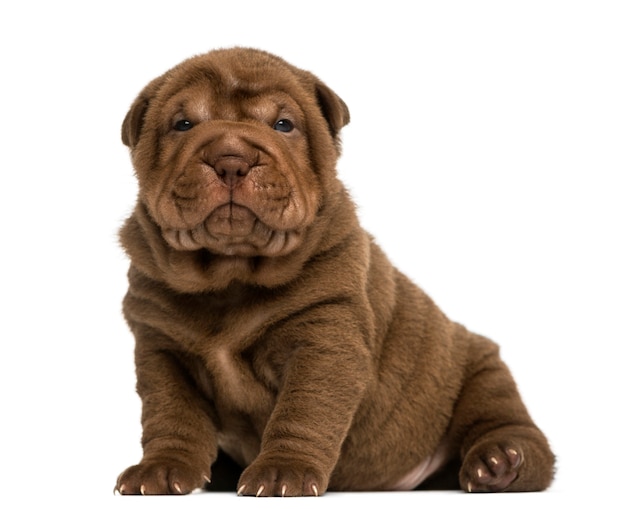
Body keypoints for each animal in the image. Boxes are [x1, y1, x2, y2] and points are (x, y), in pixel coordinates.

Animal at [112, 47, 552, 496]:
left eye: (283, 125)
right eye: (183, 124)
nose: (231, 159)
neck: (231, 274)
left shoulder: (324, 340)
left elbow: (304, 411)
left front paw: (281, 473)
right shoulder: (162, 349)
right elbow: (171, 416)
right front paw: (160, 469)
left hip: (481, 370)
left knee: (505, 424)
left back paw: (500, 463)